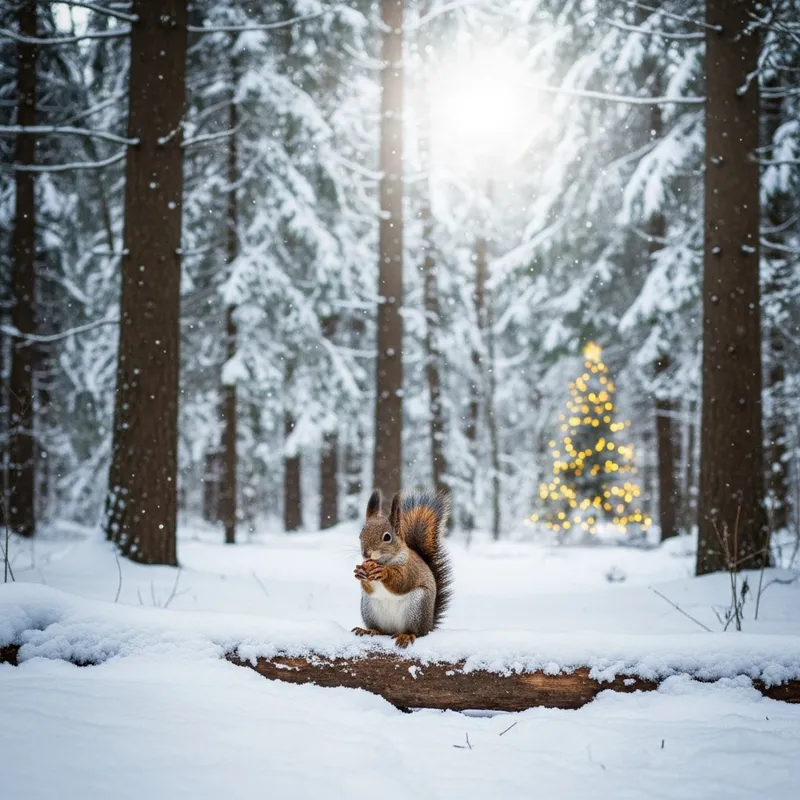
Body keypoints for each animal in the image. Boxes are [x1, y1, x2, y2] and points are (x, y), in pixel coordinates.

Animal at [352, 486, 452, 648]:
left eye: (387, 537)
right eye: (360, 535)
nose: (366, 554)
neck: (384, 561)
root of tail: (429, 625)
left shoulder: (409, 569)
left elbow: (401, 582)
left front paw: (384, 573)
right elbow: (368, 587)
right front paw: (359, 573)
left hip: (417, 608)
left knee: (416, 632)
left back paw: (406, 635)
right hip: (369, 609)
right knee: (380, 630)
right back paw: (369, 630)